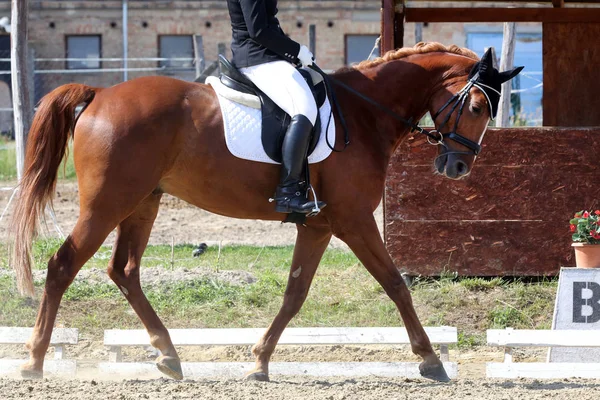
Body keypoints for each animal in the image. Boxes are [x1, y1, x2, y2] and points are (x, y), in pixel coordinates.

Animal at [12, 42, 496, 382]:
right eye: (476, 107)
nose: (459, 167)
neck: (363, 114)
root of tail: (99, 95)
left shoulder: (319, 226)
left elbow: (294, 294)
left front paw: (259, 362)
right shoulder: (354, 221)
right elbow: (396, 284)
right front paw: (431, 361)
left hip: (143, 202)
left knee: (124, 270)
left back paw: (168, 355)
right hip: (108, 202)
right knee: (63, 265)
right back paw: (34, 362)